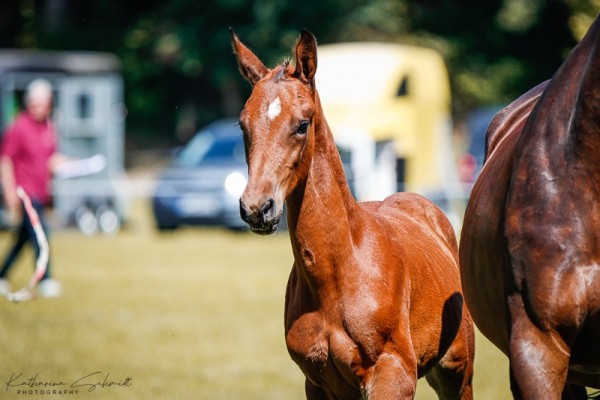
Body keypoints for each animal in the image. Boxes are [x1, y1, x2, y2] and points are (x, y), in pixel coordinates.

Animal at [232, 28, 476, 400]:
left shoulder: (393, 376)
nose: (257, 207)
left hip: (456, 372)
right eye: (243, 125)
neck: (338, 276)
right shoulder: (318, 384)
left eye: (302, 124)